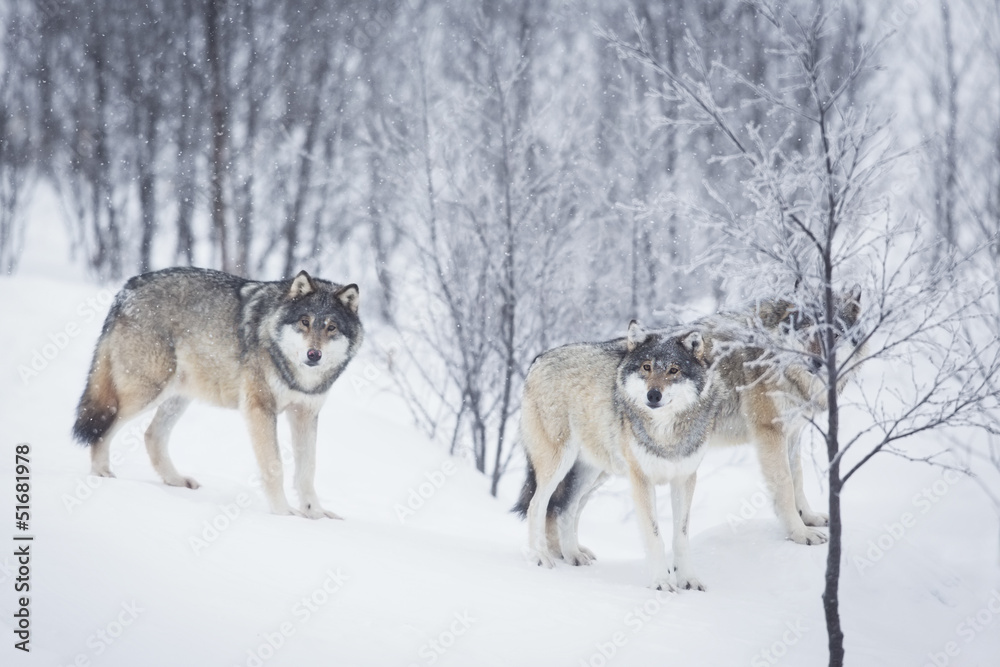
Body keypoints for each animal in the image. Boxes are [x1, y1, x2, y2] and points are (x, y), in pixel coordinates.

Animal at [72, 267, 362, 519]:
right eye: (305, 322)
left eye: (331, 327)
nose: (314, 354)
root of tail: (127, 287)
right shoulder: (260, 408)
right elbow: (274, 466)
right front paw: (284, 514)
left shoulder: (305, 413)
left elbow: (307, 470)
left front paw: (316, 514)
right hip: (146, 392)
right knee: (102, 427)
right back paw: (101, 475)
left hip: (177, 397)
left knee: (151, 435)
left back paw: (175, 480)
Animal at [513, 321, 720, 591]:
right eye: (646, 367)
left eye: (673, 370)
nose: (653, 395)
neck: (665, 433)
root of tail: (538, 359)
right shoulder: (641, 479)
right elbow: (654, 536)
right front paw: (661, 583)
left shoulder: (684, 478)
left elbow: (681, 537)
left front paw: (689, 581)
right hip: (558, 464)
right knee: (537, 505)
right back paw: (539, 557)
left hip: (594, 473)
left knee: (566, 509)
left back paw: (573, 555)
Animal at [699, 286, 865, 545]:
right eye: (807, 333)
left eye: (834, 335)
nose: (816, 362)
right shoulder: (771, 432)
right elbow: (785, 484)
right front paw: (799, 534)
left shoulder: (794, 432)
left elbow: (797, 478)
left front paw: (808, 518)